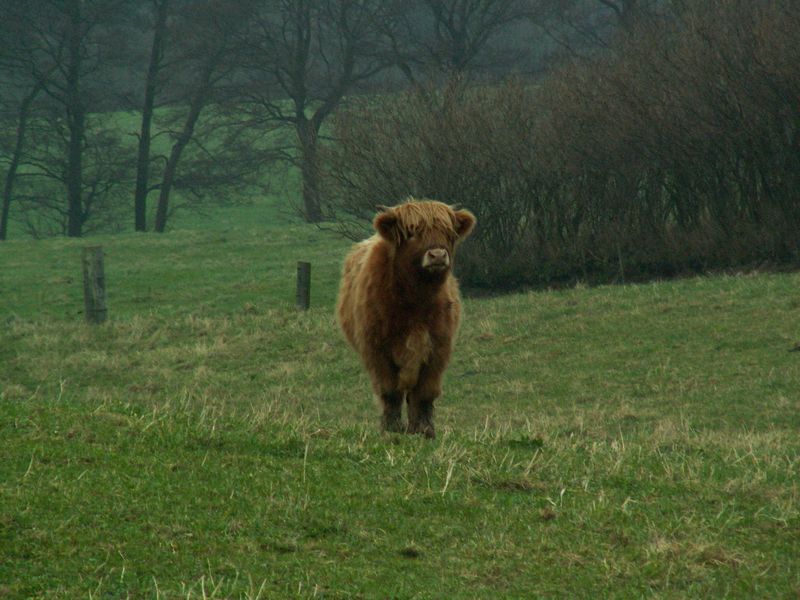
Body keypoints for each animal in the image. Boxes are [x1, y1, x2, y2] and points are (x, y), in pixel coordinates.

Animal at [336, 199, 476, 438]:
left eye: (447, 232)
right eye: (412, 233)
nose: (437, 255)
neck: (416, 300)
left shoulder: (438, 348)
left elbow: (425, 392)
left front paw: (425, 429)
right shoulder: (376, 350)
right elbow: (389, 390)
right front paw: (391, 428)